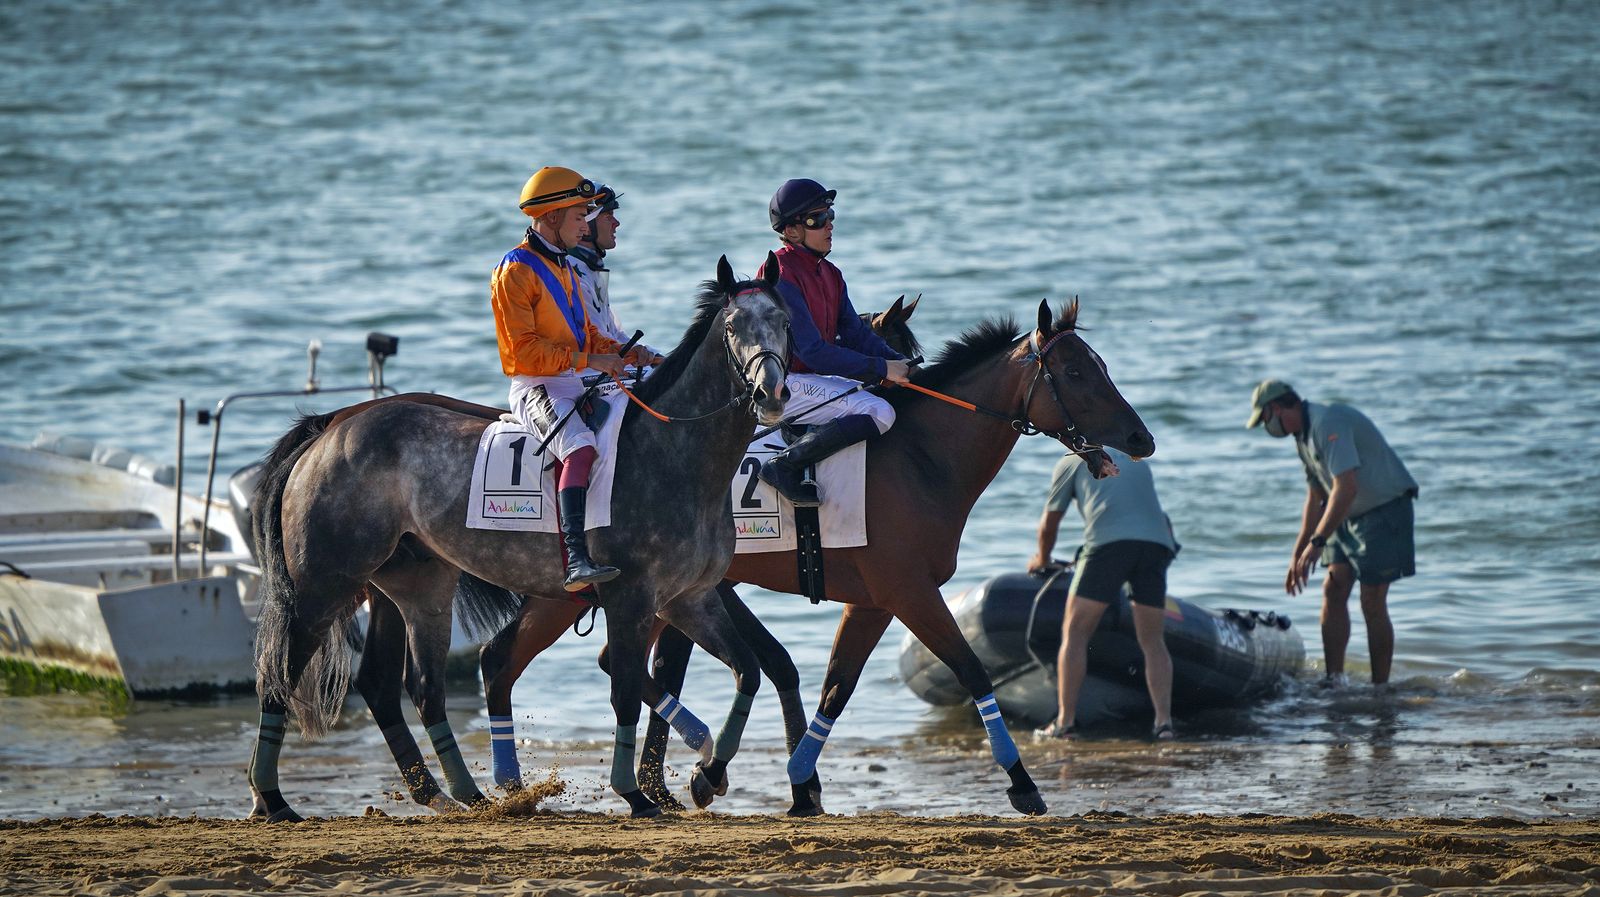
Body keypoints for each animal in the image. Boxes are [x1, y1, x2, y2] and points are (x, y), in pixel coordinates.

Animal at [244, 254, 793, 821]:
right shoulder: (630, 598)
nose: (771, 393)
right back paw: (272, 798)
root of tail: (330, 428)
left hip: (417, 586)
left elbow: (748, 671)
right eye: (733, 327)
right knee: (277, 678)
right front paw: (635, 792)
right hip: (323, 587)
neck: (675, 454)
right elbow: (623, 690)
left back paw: (458, 793)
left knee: (409, 684)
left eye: (784, 322)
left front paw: (708, 772)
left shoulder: (690, 597)